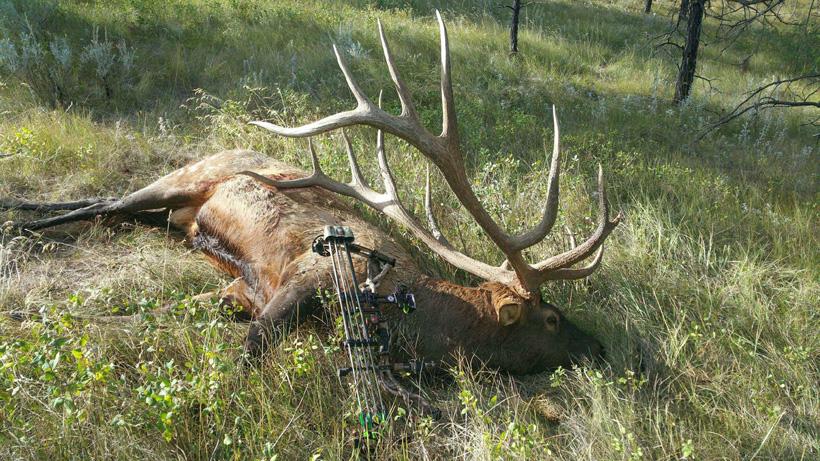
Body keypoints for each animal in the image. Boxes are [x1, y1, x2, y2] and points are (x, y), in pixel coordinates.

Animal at [2, 12, 621, 375]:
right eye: (552, 319)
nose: (599, 346)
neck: (402, 308)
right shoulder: (303, 279)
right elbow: (249, 350)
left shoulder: (239, 290)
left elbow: (156, 315)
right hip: (188, 176)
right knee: (104, 203)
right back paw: (19, 221)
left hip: (179, 215)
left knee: (109, 209)